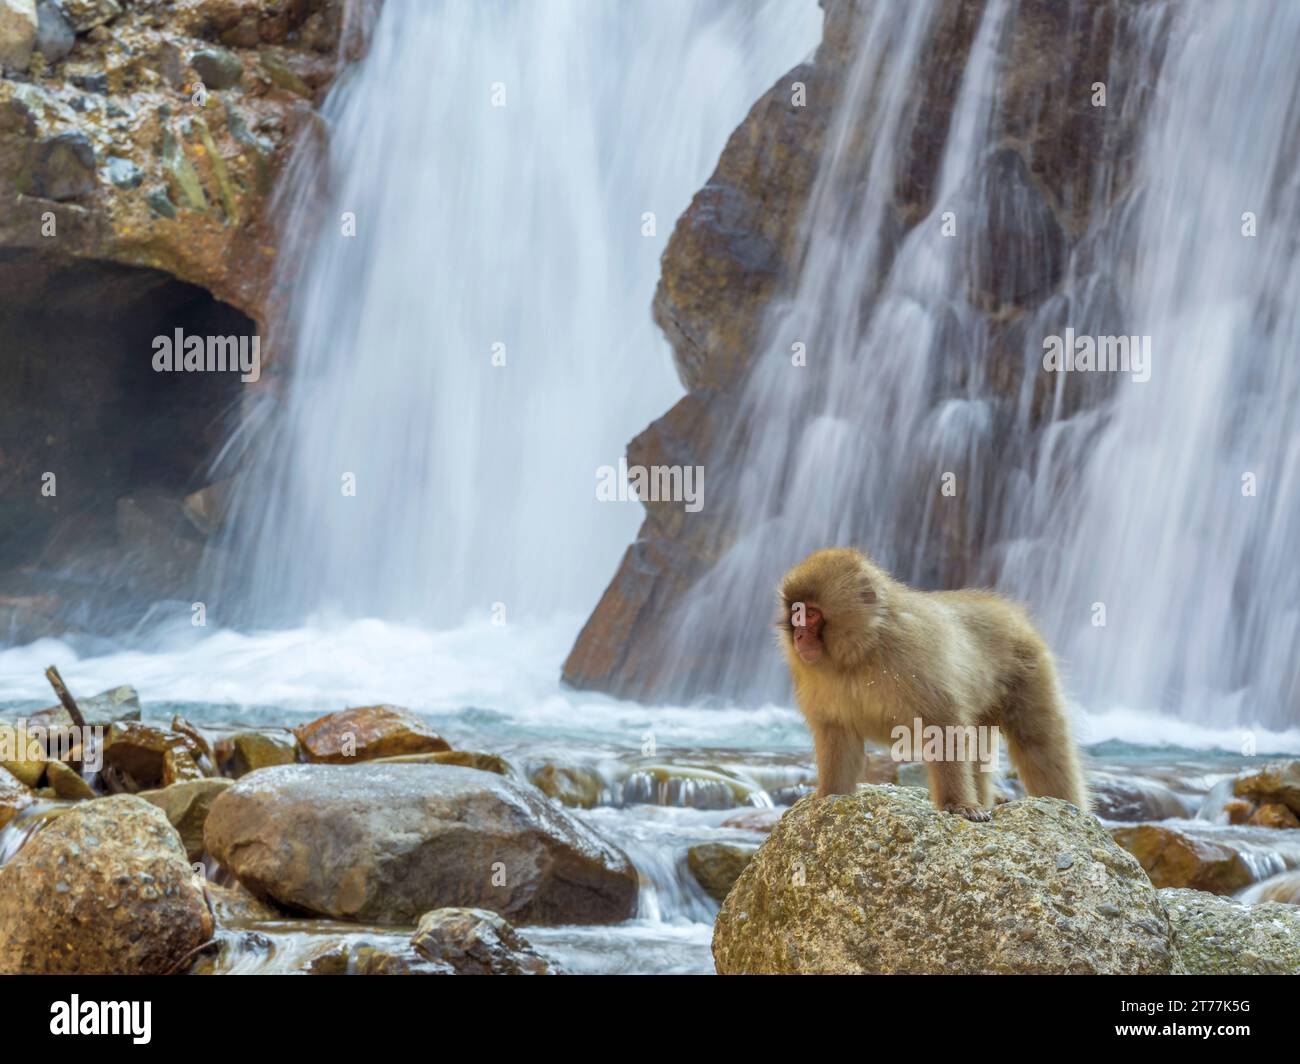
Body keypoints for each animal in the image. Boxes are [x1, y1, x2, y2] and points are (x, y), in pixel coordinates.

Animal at [779, 547, 1087, 821]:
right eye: (795, 613)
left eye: (811, 614)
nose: (799, 637)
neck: (860, 652)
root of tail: (1009, 610)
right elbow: (837, 733)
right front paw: (830, 796)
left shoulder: (913, 658)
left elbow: (942, 724)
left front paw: (959, 804)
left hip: (1029, 667)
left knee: (1039, 742)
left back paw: (1068, 805)